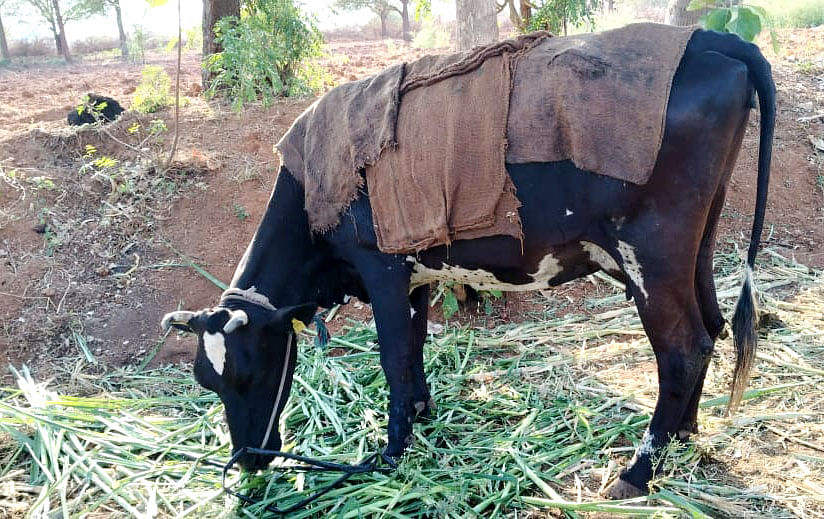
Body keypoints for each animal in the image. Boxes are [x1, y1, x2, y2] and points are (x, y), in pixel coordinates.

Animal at [159, 30, 772, 502]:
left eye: (250, 371)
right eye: (207, 380)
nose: (247, 459)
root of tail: (711, 38)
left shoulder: (381, 269)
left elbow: (392, 355)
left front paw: (392, 450)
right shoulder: (415, 272)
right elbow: (414, 345)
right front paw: (420, 412)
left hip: (652, 256)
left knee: (683, 349)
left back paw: (639, 470)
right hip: (694, 249)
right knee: (711, 329)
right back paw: (683, 436)